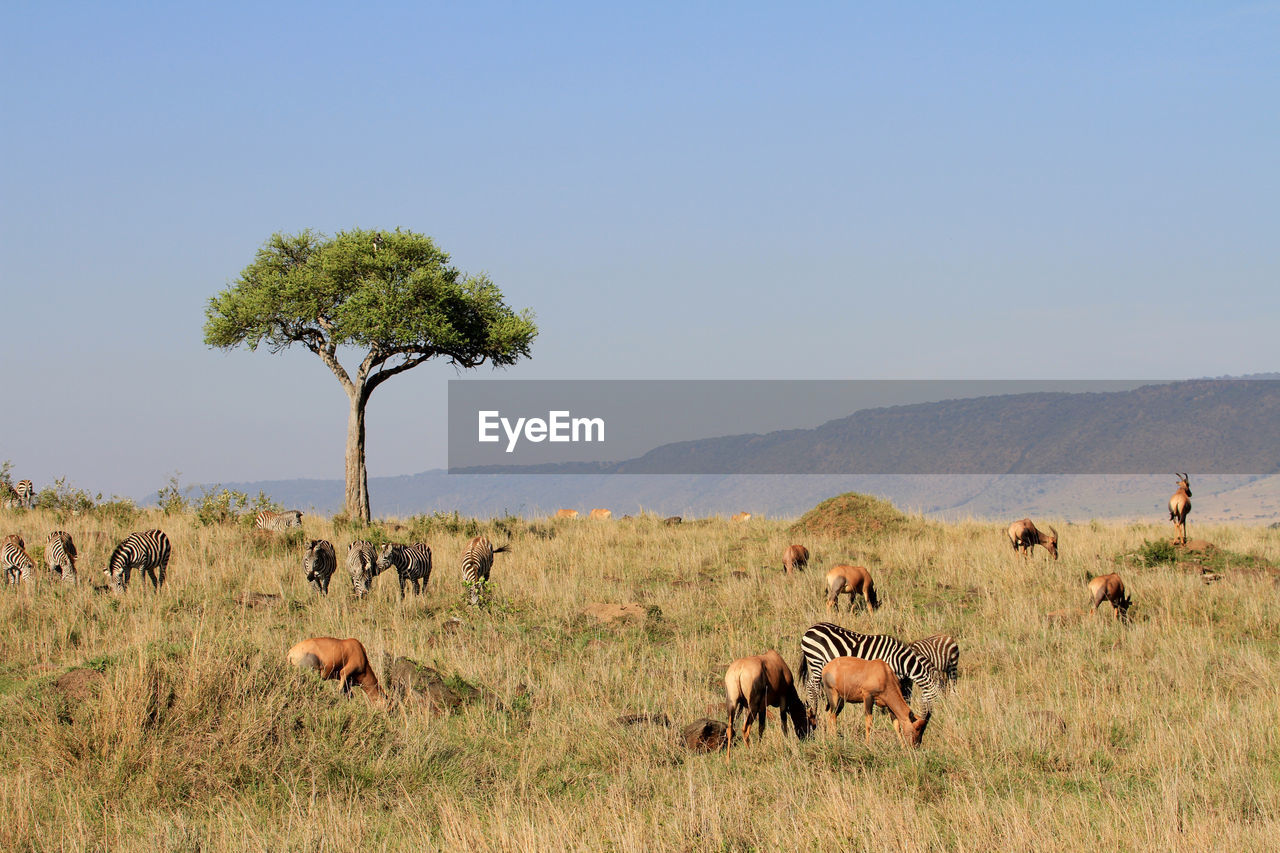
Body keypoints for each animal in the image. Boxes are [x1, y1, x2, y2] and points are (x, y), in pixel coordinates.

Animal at [798, 617, 942, 717]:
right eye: (936, 699)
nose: (928, 718)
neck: (900, 660)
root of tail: (810, 629)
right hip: (816, 662)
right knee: (812, 686)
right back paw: (815, 710)